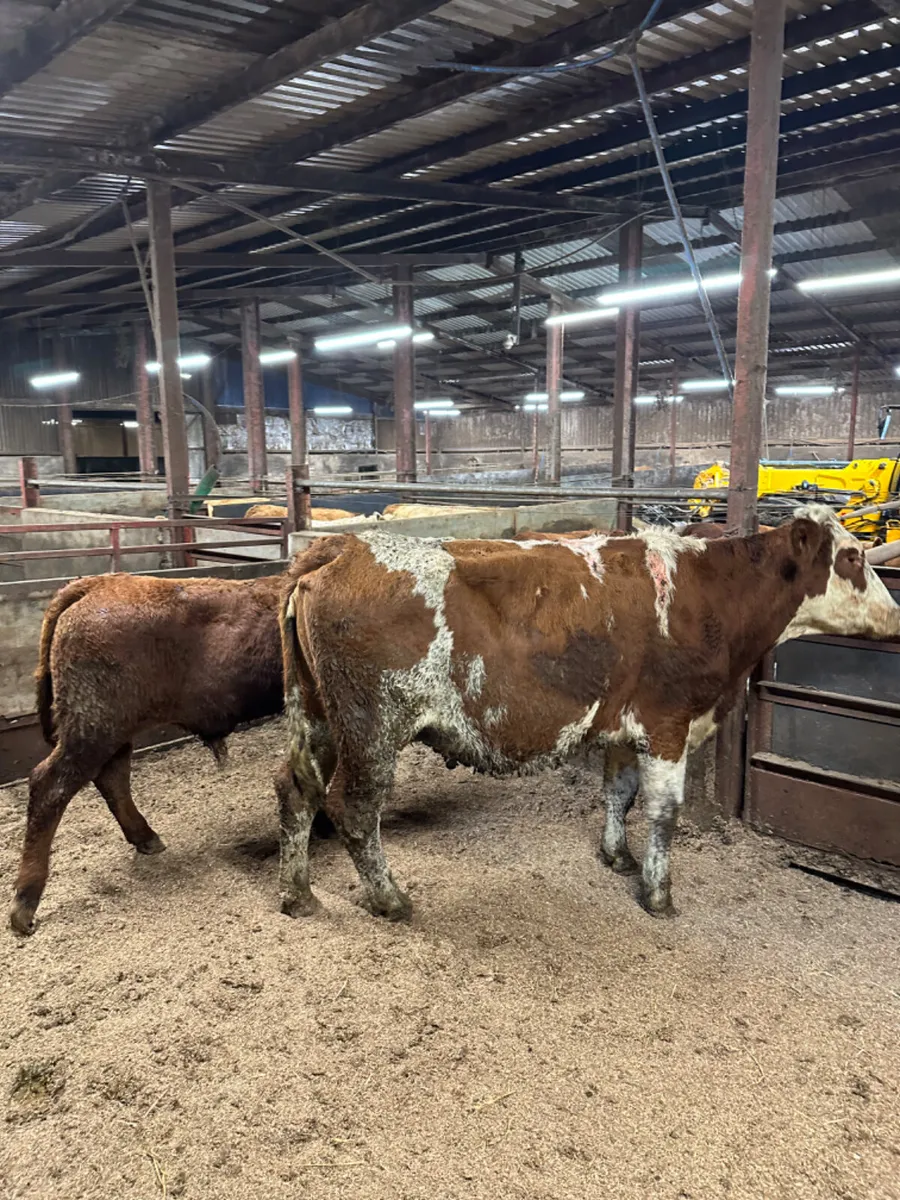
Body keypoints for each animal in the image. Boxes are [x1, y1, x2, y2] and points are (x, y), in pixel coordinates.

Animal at [9, 572, 286, 935]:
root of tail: (98, 583)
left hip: (113, 731)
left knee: (112, 777)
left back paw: (146, 837)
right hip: (92, 731)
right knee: (50, 786)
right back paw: (24, 904)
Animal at [274, 505, 899, 922]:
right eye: (851, 557)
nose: (896, 617)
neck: (710, 593)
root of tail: (343, 549)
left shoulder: (625, 726)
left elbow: (618, 794)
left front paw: (616, 856)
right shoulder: (668, 724)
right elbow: (664, 814)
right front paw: (658, 894)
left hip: (315, 714)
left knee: (295, 790)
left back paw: (297, 894)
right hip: (372, 727)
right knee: (356, 809)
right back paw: (389, 899)